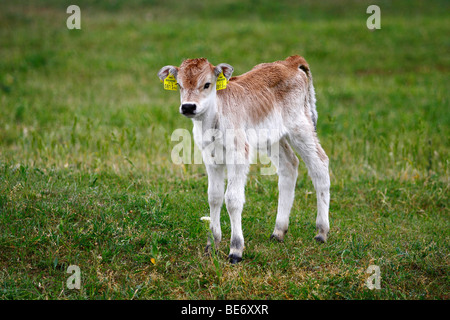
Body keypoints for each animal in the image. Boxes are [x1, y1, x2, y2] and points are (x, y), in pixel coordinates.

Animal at [159, 55, 330, 264]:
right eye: (179, 85)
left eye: (207, 84)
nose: (188, 107)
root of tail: (290, 61)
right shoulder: (210, 157)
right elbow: (214, 197)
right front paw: (212, 245)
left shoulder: (239, 153)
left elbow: (232, 199)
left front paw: (235, 250)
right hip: (273, 138)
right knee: (289, 165)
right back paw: (278, 232)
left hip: (301, 126)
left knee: (320, 164)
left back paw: (321, 232)